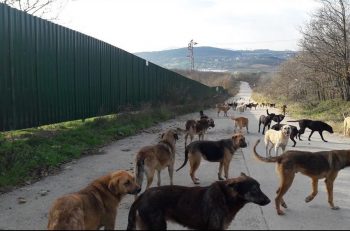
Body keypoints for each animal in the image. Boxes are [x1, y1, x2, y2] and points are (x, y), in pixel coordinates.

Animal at [126, 172, 270, 230]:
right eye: (254, 189)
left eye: (259, 187)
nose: (269, 201)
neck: (225, 197)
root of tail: (142, 195)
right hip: (157, 226)